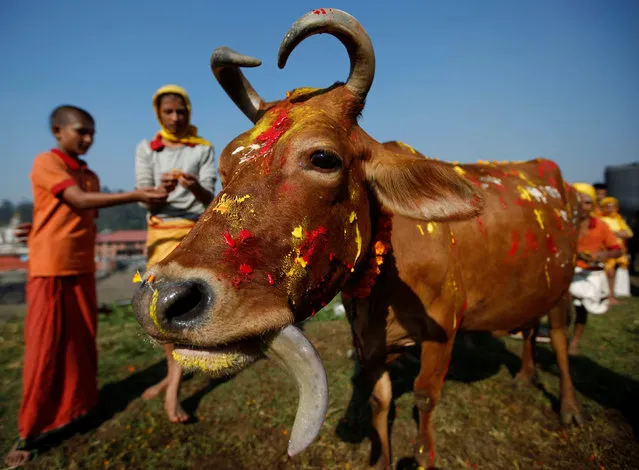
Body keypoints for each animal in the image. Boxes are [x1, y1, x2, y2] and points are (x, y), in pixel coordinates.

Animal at [134, 8, 584, 470]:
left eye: (323, 158)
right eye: (223, 166)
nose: (162, 299)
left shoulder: (444, 333)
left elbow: (425, 396)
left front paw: (423, 457)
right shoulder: (369, 344)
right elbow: (379, 401)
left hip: (565, 287)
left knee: (559, 341)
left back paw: (569, 407)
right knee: (529, 329)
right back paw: (526, 375)